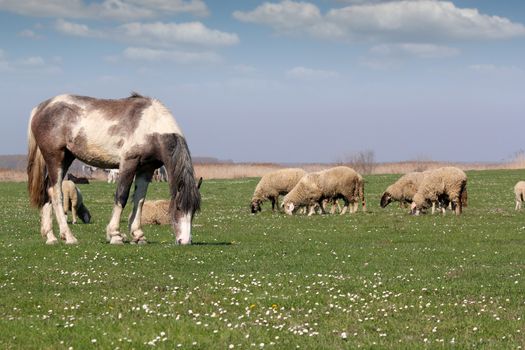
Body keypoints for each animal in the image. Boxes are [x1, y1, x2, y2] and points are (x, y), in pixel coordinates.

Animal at [27, 93, 202, 246]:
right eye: (178, 207)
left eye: (194, 210)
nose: (185, 241)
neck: (151, 126)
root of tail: (41, 107)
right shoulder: (128, 164)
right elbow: (121, 197)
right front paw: (115, 235)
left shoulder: (146, 169)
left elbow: (139, 200)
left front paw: (138, 236)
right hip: (55, 158)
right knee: (56, 193)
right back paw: (68, 236)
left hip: (66, 158)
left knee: (48, 190)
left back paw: (51, 237)